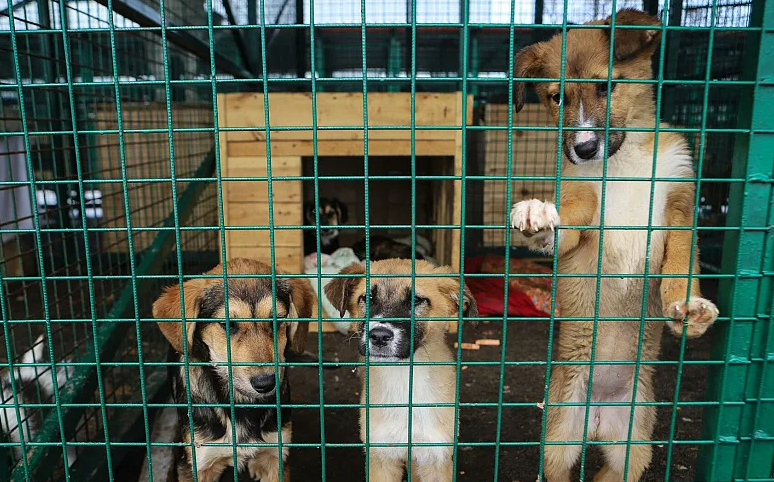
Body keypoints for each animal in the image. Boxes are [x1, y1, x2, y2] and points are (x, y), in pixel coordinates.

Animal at [153, 258, 315, 482]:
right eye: (228, 324)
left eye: (277, 320)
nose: (265, 383)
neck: (241, 404)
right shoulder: (196, 465)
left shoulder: (276, 456)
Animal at [324, 259, 478, 482]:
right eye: (367, 297)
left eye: (416, 300)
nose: (379, 336)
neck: (404, 379)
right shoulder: (381, 455)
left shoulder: (436, 456)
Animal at [509, 9, 719, 482]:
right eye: (557, 98)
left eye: (607, 86)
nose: (584, 148)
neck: (622, 163)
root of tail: (599, 417)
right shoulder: (583, 203)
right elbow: (564, 226)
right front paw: (537, 218)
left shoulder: (679, 207)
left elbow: (682, 264)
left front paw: (690, 310)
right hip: (559, 439)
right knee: (558, 469)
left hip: (633, 448)